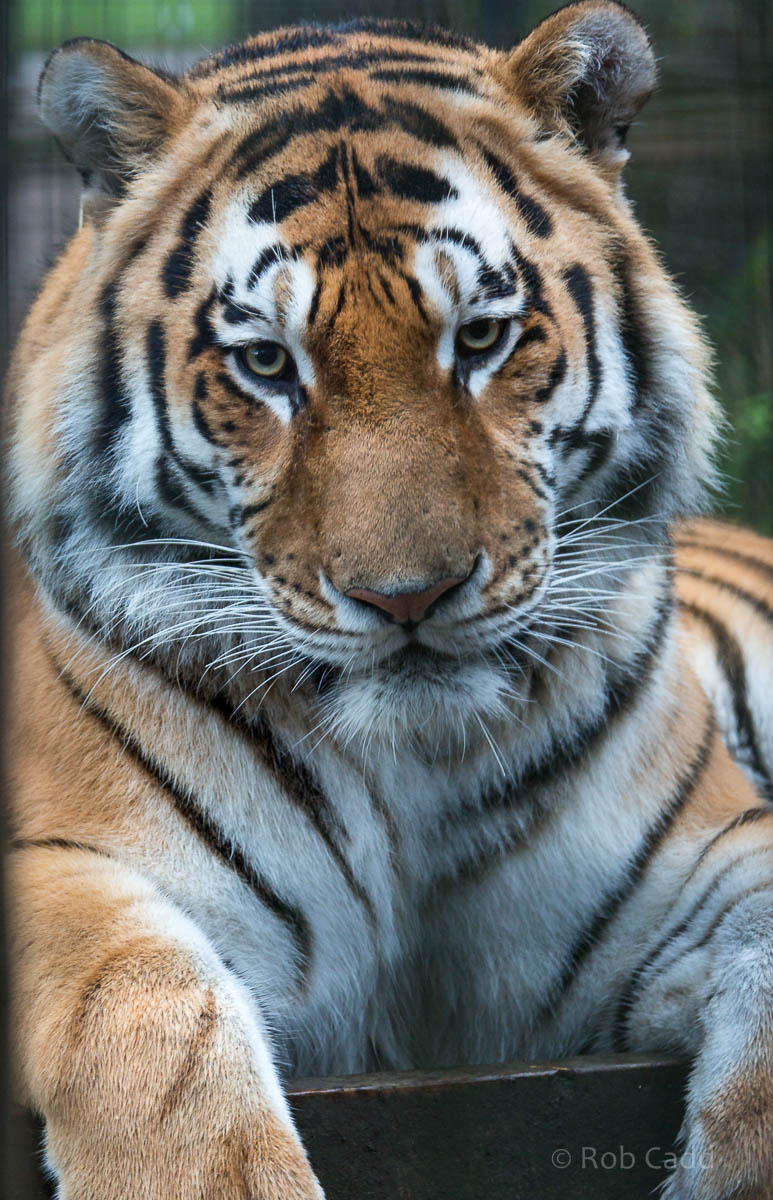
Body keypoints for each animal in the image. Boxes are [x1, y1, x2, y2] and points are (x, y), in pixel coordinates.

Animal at [7, 2, 773, 1197]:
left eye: (479, 338)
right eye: (266, 364)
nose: (407, 597)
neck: (409, 774)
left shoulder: (712, 857)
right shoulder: (66, 865)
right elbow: (149, 1030)